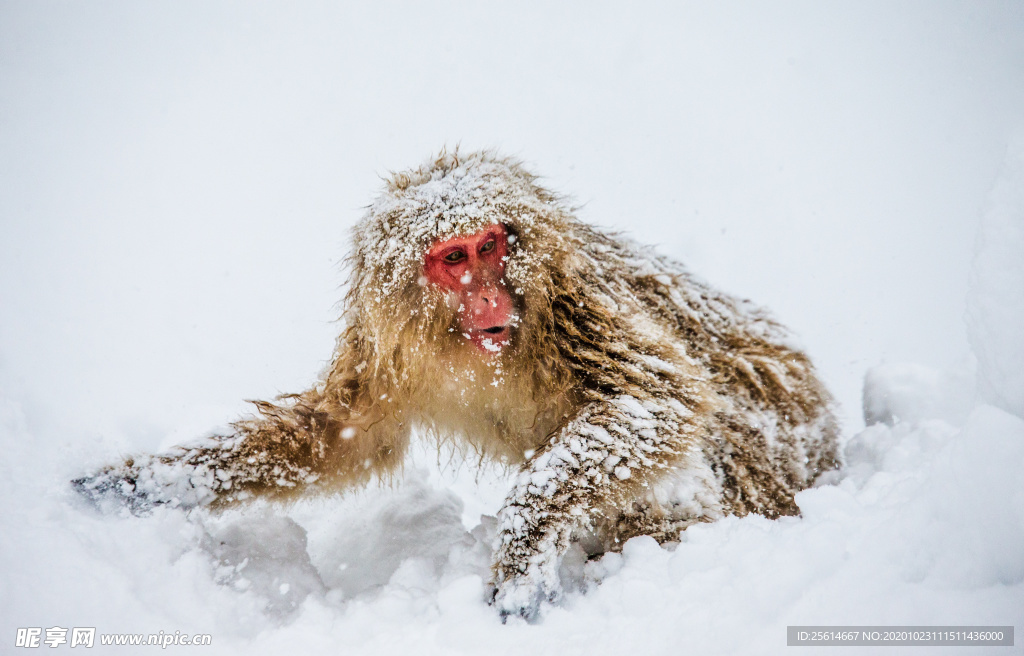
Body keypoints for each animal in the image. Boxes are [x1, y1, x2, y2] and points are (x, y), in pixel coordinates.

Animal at [74, 148, 839, 618]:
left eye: (490, 246)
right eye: (452, 258)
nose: (489, 297)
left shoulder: (573, 303)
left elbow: (659, 398)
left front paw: (524, 548)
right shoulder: (387, 345)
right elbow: (343, 437)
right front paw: (152, 482)